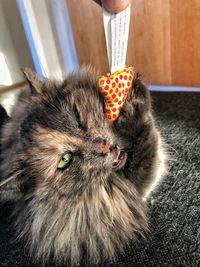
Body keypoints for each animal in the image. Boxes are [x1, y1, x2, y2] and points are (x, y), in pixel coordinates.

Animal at [0, 68, 166, 266]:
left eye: (78, 118)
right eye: (65, 160)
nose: (105, 146)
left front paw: (132, 91)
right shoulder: (138, 184)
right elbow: (144, 142)